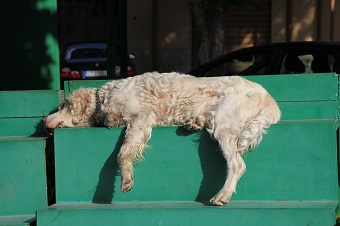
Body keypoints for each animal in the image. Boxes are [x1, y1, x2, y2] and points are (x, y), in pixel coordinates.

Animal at [43, 71, 280, 206]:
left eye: (63, 106)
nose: (44, 120)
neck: (104, 100)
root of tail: (270, 100)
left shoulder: (141, 118)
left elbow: (123, 152)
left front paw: (126, 179)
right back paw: (193, 122)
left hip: (223, 124)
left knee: (237, 165)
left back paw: (222, 196)